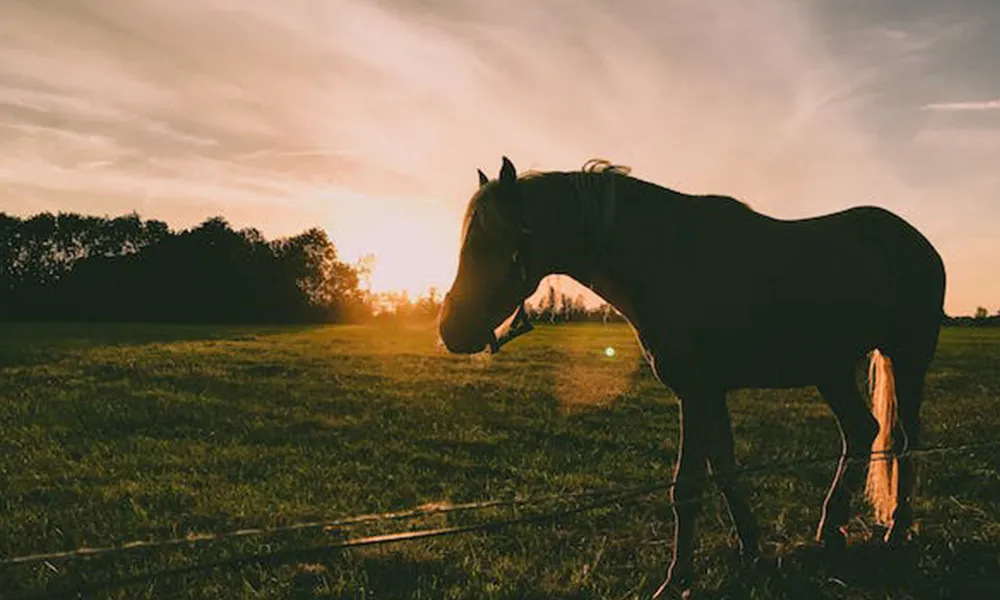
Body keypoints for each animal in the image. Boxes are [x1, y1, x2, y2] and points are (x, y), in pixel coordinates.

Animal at [438, 157, 944, 596]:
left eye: (488, 243)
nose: (450, 329)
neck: (668, 259)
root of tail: (917, 241)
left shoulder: (697, 393)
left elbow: (687, 488)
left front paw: (677, 580)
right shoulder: (706, 395)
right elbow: (724, 471)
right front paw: (753, 550)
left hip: (906, 359)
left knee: (904, 441)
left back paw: (896, 529)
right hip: (831, 370)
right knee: (861, 431)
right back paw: (832, 529)